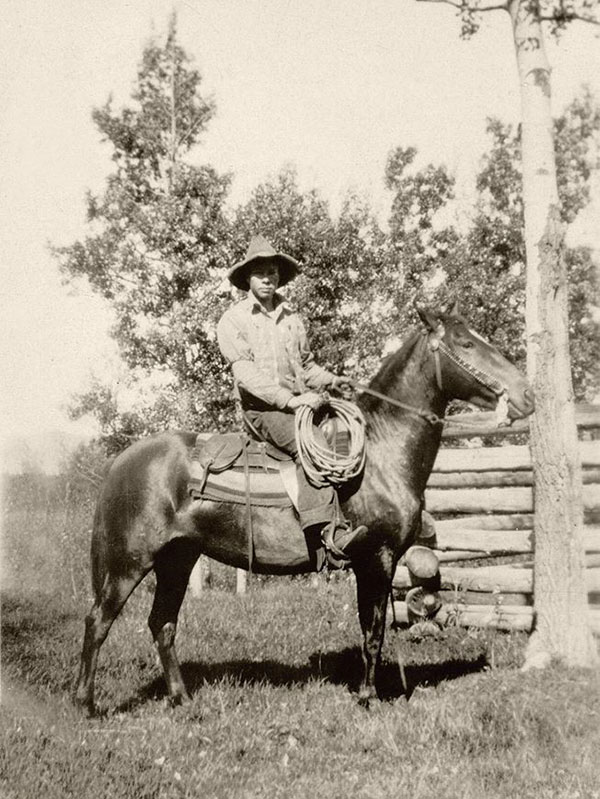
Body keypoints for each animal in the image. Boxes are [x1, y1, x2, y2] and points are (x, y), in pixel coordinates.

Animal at [74, 304, 536, 712]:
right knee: (98, 621)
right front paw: (368, 698)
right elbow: (373, 632)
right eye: (466, 343)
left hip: (178, 559)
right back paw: (86, 703)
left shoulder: (372, 563)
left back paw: (182, 699)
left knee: (162, 624)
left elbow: (370, 628)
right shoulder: (377, 557)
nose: (527, 394)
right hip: (130, 561)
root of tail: (123, 461)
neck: (381, 453)